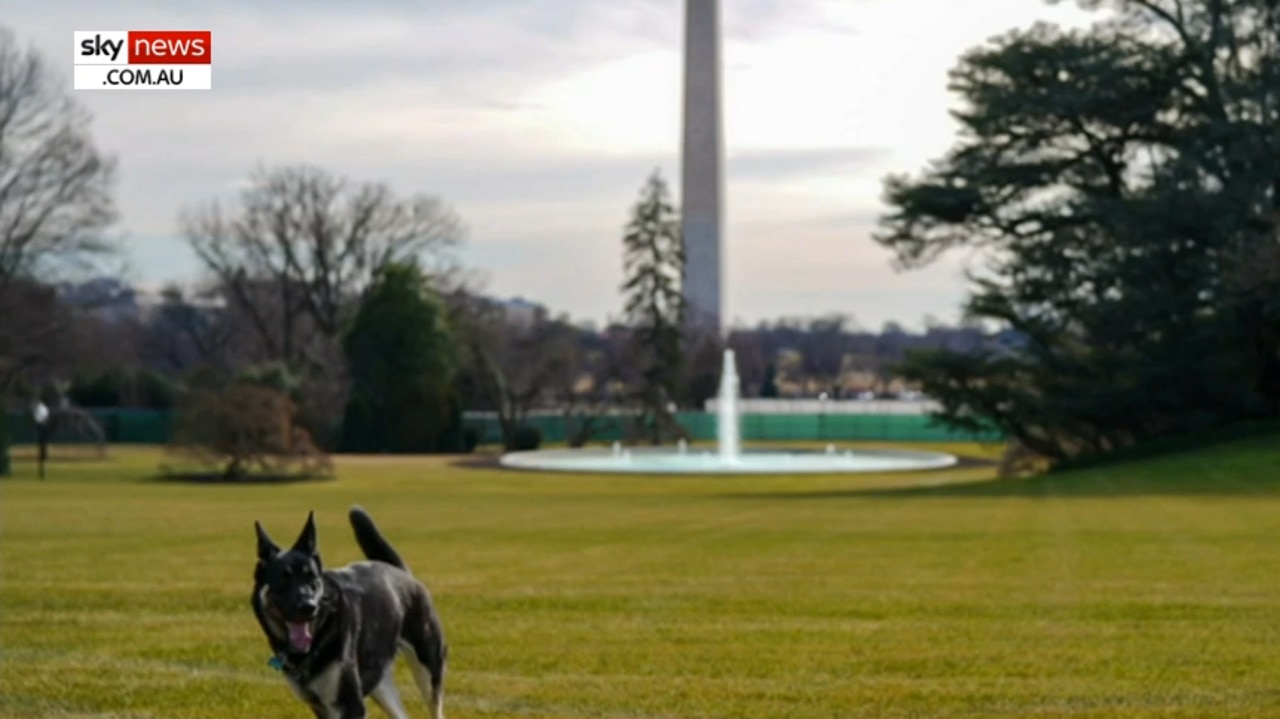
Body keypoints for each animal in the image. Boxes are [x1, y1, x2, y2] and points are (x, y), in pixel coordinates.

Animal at [252, 504, 448, 716]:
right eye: (283, 579)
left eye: (312, 578)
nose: (309, 606)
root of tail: (402, 573)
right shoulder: (321, 706)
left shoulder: (350, 704)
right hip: (379, 682)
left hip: (428, 669)